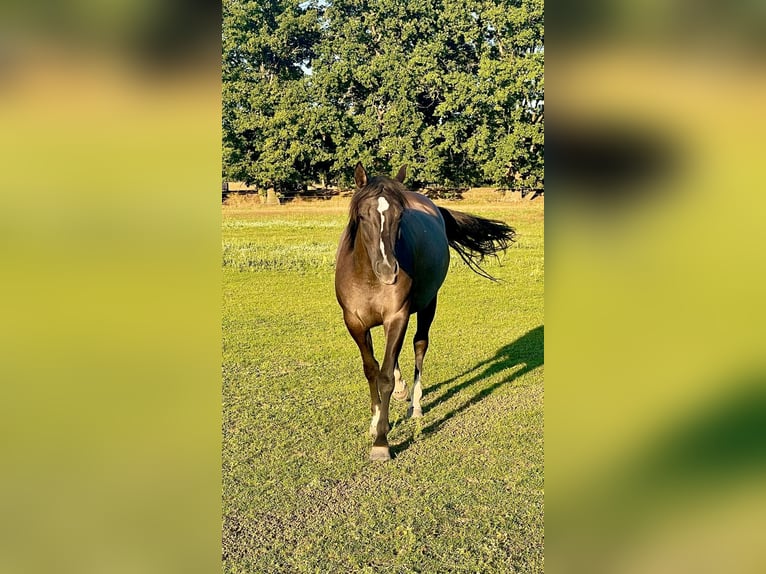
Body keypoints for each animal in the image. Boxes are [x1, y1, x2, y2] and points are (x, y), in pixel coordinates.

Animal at [335, 163, 516, 461]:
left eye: (400, 215)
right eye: (362, 215)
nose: (389, 270)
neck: (368, 276)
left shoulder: (398, 317)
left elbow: (385, 376)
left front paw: (382, 443)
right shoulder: (355, 322)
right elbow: (372, 370)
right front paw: (376, 422)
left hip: (428, 304)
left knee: (420, 345)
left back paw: (415, 405)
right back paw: (402, 391)